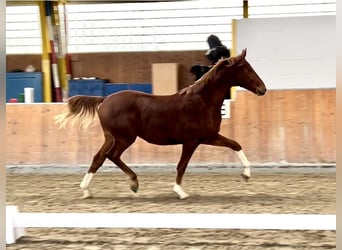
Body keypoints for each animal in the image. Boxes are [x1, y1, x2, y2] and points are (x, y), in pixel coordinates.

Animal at [54, 48, 266, 199]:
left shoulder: (208, 137)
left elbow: (235, 144)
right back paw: (134, 183)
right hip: (124, 138)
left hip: (111, 137)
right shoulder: (191, 141)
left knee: (98, 157)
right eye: (247, 68)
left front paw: (246, 175)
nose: (262, 89)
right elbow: (182, 165)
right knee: (112, 156)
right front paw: (180, 192)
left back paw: (86, 190)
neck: (202, 102)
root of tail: (104, 100)